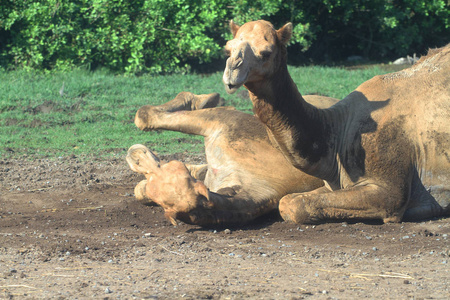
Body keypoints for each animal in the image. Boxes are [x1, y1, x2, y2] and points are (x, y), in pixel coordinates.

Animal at [222, 19, 450, 224]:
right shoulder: (334, 182)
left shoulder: (390, 188)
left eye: (266, 52)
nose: (232, 71)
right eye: (228, 50)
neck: (338, 128)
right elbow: (286, 202)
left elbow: (295, 205)